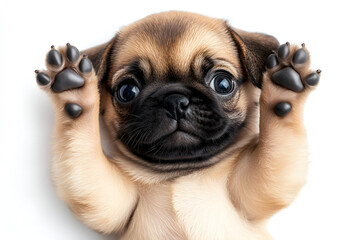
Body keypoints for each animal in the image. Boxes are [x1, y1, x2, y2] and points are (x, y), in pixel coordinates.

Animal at [35, 11, 320, 240]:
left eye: (222, 84)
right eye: (127, 91)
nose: (174, 100)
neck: (180, 173)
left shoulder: (257, 189)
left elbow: (276, 154)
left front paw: (284, 90)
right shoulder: (107, 199)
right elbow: (86, 167)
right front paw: (74, 95)